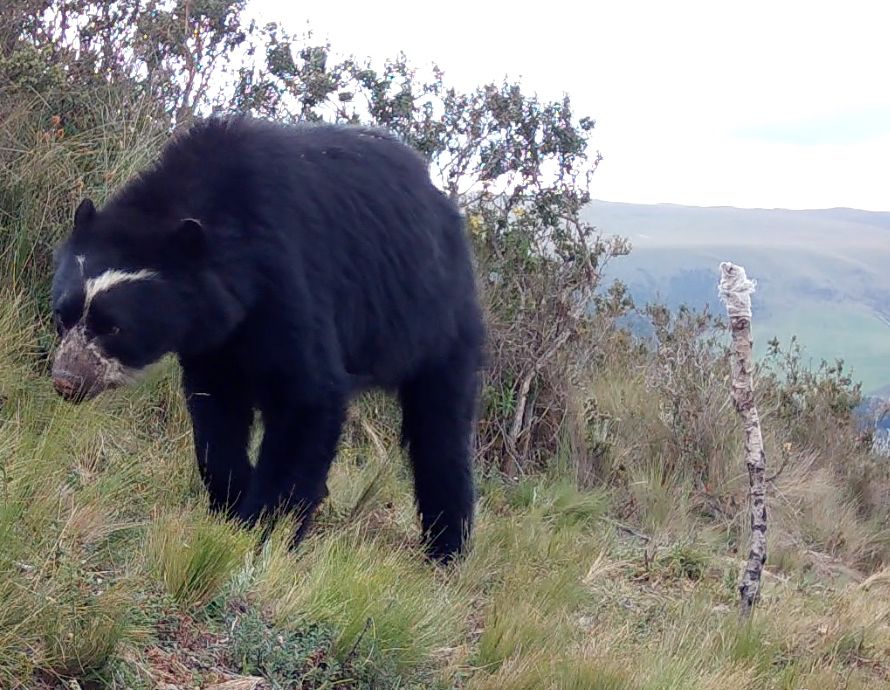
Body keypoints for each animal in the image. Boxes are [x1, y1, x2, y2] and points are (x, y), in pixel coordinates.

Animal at [49, 116, 486, 562]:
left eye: (115, 327)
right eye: (61, 317)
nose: (67, 380)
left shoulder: (290, 283)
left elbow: (308, 399)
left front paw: (263, 529)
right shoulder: (215, 341)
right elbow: (215, 414)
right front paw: (231, 502)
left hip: (436, 323)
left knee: (440, 430)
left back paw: (446, 549)